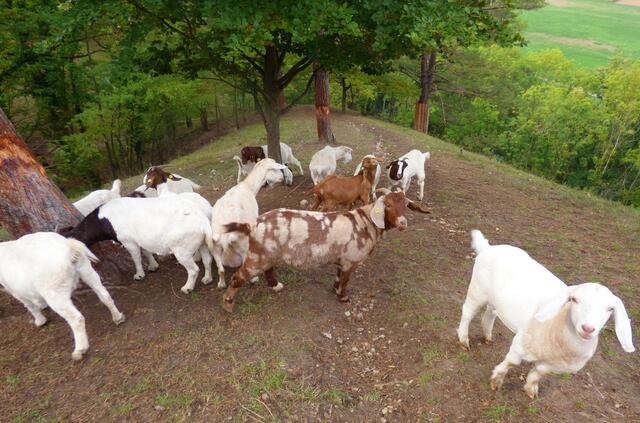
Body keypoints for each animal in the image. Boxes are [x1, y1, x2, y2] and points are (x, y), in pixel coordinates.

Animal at [62, 196, 214, 294]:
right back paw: (207, 279)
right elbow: (146, 252)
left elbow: (136, 257)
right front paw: (153, 266)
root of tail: (202, 221)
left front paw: (139, 275)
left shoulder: (129, 241)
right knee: (207, 260)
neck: (103, 219)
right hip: (202, 243)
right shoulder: (140, 239)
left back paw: (187, 288)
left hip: (182, 250)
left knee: (193, 269)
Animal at [211, 159, 293, 289]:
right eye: (275, 169)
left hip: (215, 248)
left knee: (221, 270)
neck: (248, 186)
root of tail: (225, 237)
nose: (282, 178)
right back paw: (254, 279)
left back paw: (221, 284)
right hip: (242, 245)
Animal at [220, 189, 430, 312]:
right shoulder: (350, 260)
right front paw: (343, 298)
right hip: (257, 257)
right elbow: (345, 280)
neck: (365, 222)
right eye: (387, 205)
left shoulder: (342, 260)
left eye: (407, 205)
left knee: (268, 269)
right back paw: (228, 305)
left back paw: (276, 286)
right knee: (238, 277)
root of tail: (251, 225)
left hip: (267, 254)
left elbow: (338, 277)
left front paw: (334, 289)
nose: (403, 223)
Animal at [457, 230, 635, 398]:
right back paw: (464, 340)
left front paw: (531, 390)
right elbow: (512, 363)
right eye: (574, 299)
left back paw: (487, 336)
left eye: (610, 309)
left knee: (490, 313)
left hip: (494, 299)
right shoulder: (520, 344)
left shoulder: (552, 365)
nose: (588, 328)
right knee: (467, 312)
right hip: (477, 290)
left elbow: (538, 374)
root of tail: (488, 247)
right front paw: (496, 380)